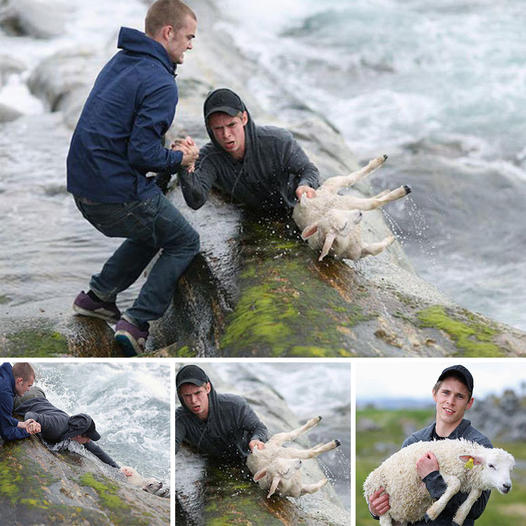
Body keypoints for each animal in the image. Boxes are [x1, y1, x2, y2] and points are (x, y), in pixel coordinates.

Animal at [364, 440, 516, 526]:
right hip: (379, 496)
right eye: (491, 465)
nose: (507, 486)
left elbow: (475, 494)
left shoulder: (474, 481)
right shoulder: (440, 470)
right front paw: (433, 512)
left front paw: (459, 517)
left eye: (511, 469)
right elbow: (455, 484)